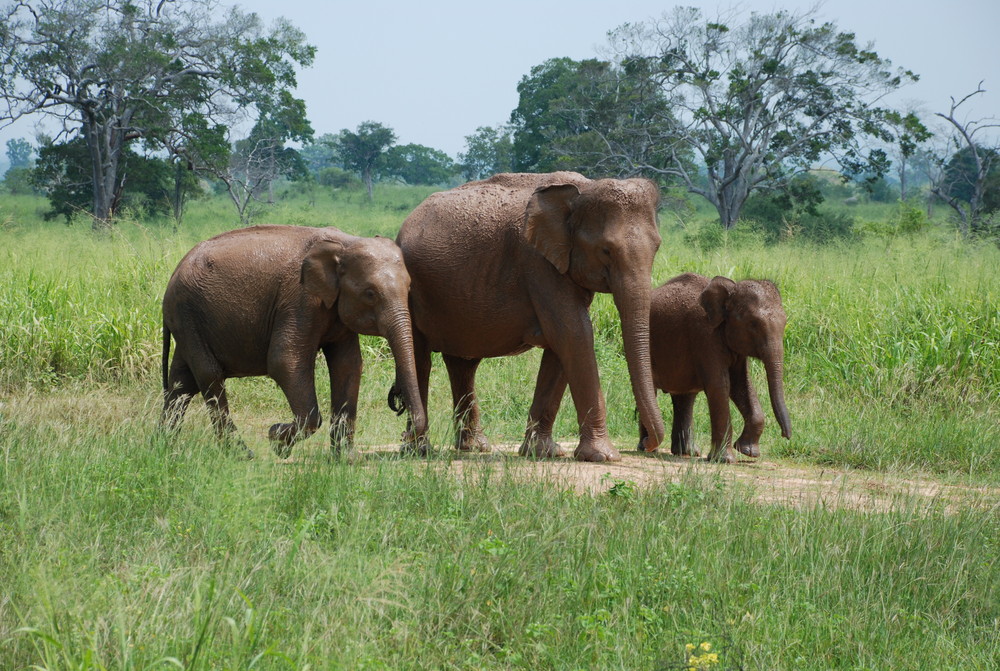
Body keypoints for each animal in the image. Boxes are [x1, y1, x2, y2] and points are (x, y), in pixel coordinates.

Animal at [158, 224, 424, 456]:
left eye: (410, 288)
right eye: (370, 294)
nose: (404, 434)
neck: (345, 243)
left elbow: (347, 366)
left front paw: (347, 460)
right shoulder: (299, 299)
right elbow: (285, 361)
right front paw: (276, 439)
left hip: (188, 320)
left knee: (182, 381)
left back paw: (163, 446)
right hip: (186, 312)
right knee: (209, 375)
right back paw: (241, 454)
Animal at [394, 171, 668, 462]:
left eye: (657, 247)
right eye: (606, 250)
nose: (647, 443)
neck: (584, 188)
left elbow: (563, 345)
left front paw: (543, 452)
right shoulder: (538, 263)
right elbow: (574, 334)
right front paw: (603, 457)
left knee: (463, 364)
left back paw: (474, 447)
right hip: (413, 290)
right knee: (421, 360)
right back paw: (418, 450)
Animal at [640, 272, 796, 462]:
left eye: (785, 323)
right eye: (753, 324)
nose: (786, 436)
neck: (731, 290)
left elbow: (741, 385)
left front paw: (748, 451)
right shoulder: (704, 334)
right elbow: (720, 386)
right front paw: (725, 460)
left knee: (685, 397)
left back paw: (687, 452)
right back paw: (648, 448)